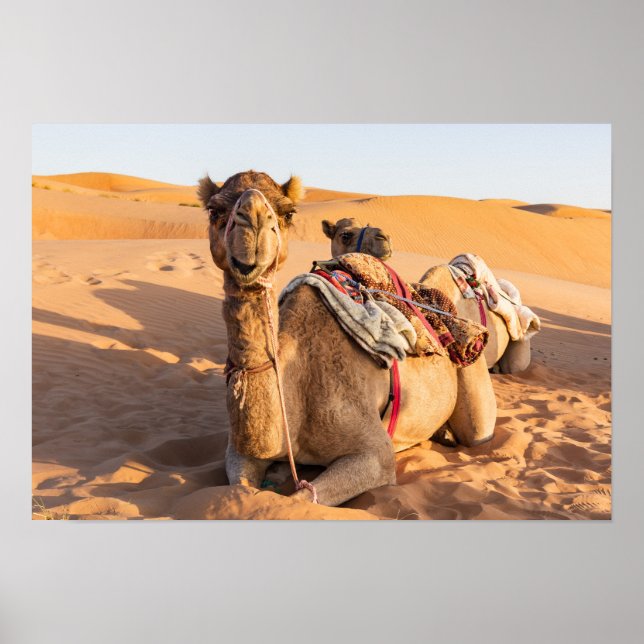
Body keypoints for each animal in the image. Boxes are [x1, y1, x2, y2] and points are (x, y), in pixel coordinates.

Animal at [198, 170, 496, 507]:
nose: (253, 222)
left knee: (477, 430)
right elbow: (242, 488)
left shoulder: (376, 453)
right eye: (214, 210)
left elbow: (299, 499)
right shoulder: (238, 451)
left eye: (288, 212)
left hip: (473, 384)